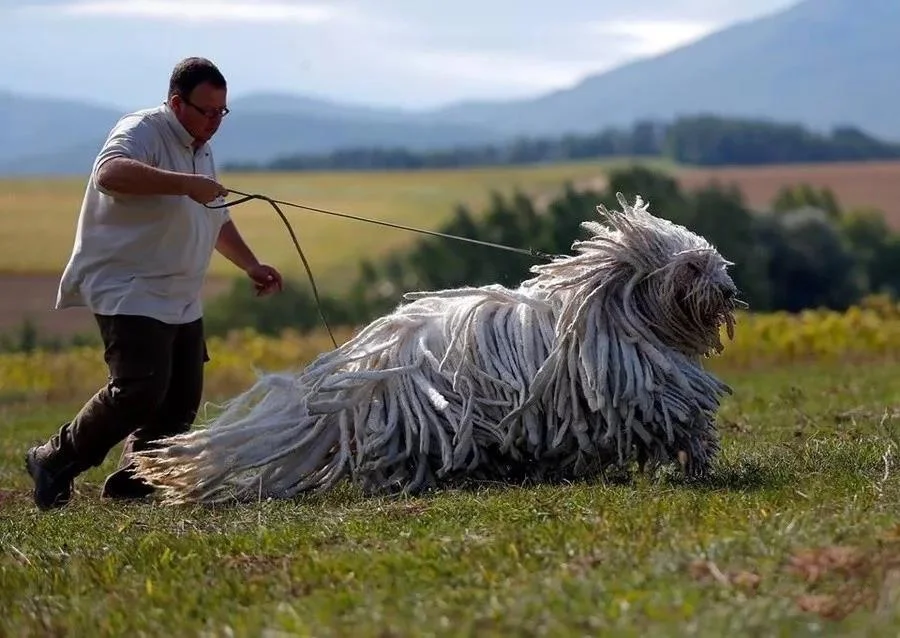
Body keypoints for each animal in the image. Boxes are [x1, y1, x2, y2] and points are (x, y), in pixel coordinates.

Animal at [128, 194, 744, 504]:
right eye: (692, 266)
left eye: (714, 260)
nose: (728, 289)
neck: (613, 308)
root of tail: (356, 369)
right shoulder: (640, 386)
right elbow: (679, 415)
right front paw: (698, 458)